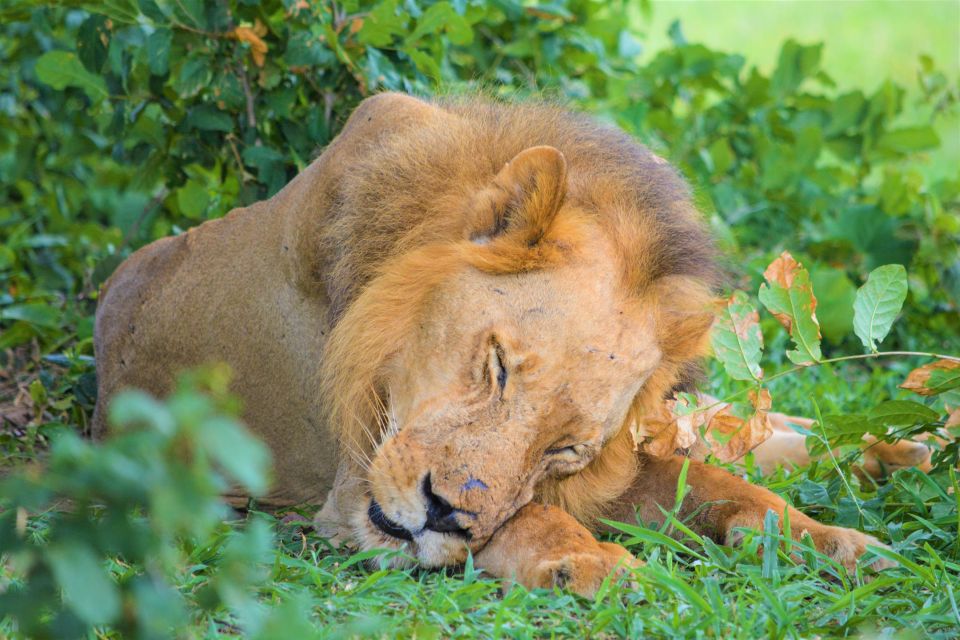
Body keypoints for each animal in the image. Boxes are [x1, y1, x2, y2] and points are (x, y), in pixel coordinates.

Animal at [94, 94, 896, 596]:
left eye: (565, 449)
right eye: (499, 367)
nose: (444, 515)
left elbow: (716, 485)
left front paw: (831, 541)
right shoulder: (352, 490)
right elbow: (530, 515)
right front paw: (591, 561)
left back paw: (893, 452)